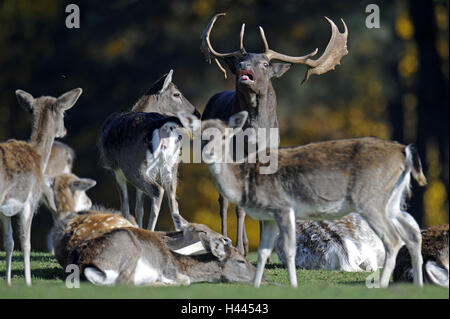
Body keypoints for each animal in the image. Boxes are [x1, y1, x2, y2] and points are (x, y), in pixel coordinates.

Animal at [0, 88, 81, 288]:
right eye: (64, 113)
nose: (64, 130)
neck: (38, 155)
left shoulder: (5, 210)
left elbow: (9, 242)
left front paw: (8, 282)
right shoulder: (30, 200)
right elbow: (25, 242)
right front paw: (28, 283)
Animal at [66, 222, 256, 288]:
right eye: (241, 261)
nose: (258, 277)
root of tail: (83, 264)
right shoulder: (168, 269)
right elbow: (186, 280)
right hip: (129, 249)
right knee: (125, 282)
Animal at [99, 70, 200, 230]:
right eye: (176, 94)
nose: (197, 113)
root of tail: (163, 127)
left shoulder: (115, 169)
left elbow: (125, 207)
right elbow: (139, 209)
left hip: (133, 166)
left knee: (157, 191)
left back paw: (151, 230)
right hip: (172, 166)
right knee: (174, 201)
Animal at [198, 111, 428, 288]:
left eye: (224, 136)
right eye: (202, 134)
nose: (207, 152)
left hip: (378, 203)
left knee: (402, 236)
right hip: (384, 205)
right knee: (405, 236)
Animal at [200, 13, 348, 258]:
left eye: (265, 63)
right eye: (241, 60)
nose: (242, 66)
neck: (254, 136)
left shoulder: (269, 158)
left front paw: (265, 251)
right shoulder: (238, 158)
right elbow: (239, 208)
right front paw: (239, 248)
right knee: (223, 201)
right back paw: (230, 242)